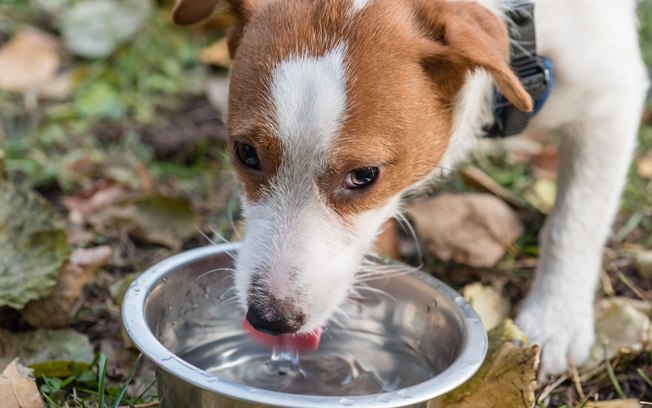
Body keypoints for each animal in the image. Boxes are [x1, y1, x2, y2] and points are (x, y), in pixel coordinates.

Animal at [171, 0, 648, 376]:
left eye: (364, 175)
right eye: (245, 153)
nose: (269, 319)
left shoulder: (612, 101)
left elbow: (575, 221)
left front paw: (556, 319)